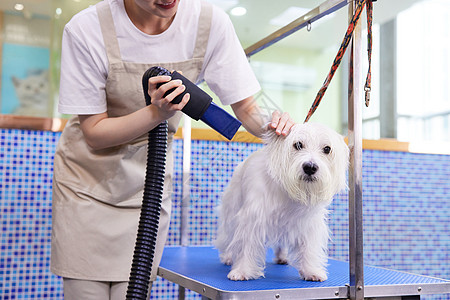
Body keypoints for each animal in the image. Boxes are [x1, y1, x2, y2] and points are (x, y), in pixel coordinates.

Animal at [214, 122, 348, 282]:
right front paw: (242, 270)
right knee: (228, 236)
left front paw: (311, 271)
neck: (289, 191)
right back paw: (227, 257)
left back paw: (282, 257)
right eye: (298, 145)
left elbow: (308, 248)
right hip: (232, 209)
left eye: (327, 149)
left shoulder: (308, 223)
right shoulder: (253, 218)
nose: (310, 167)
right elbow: (246, 245)